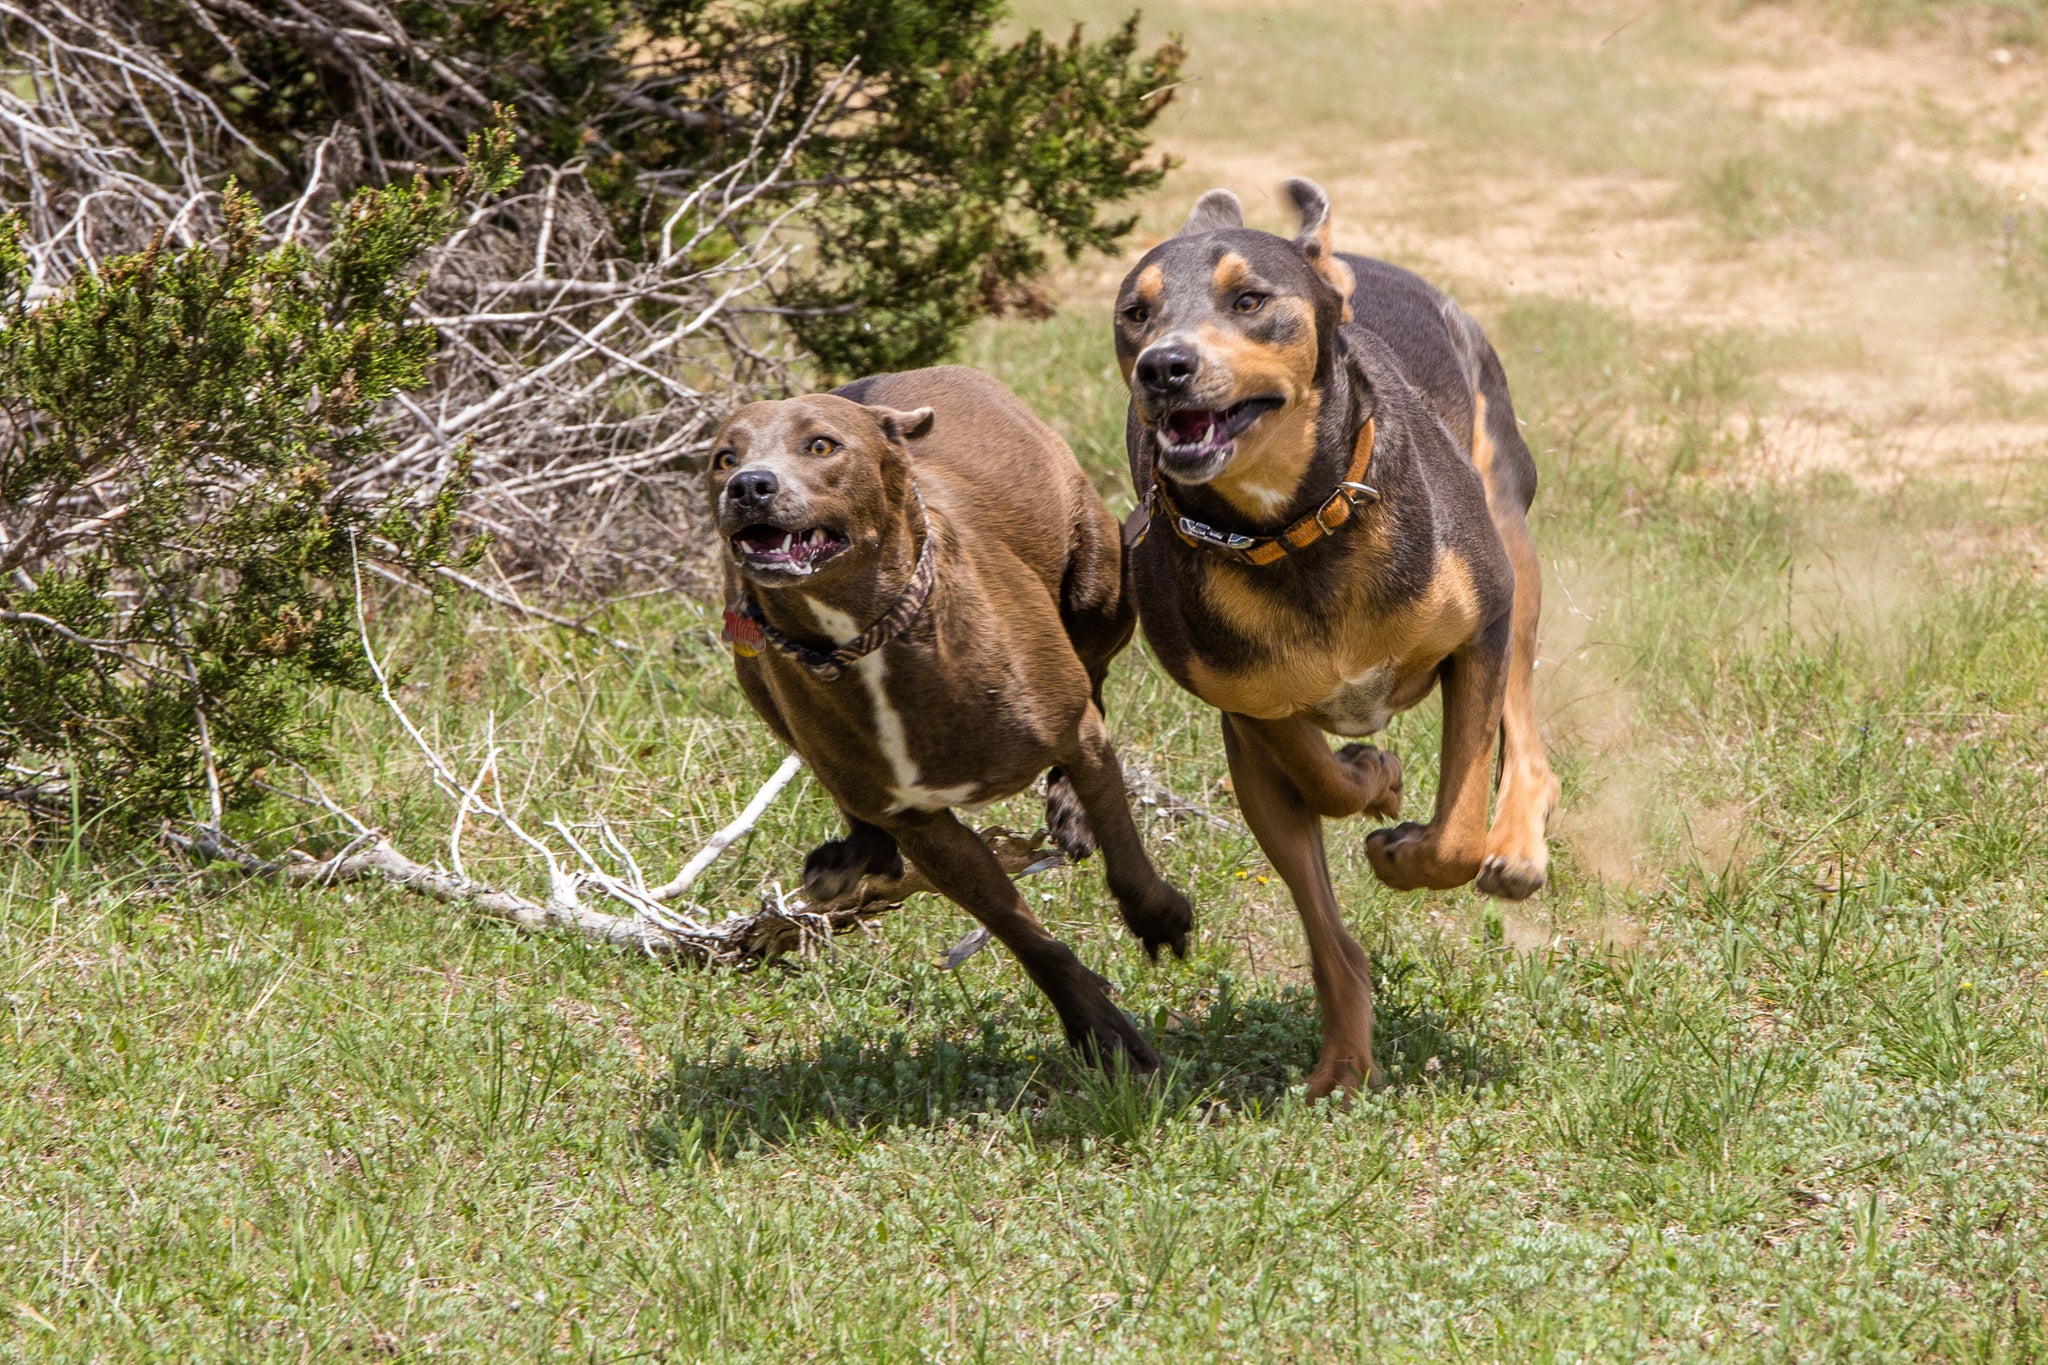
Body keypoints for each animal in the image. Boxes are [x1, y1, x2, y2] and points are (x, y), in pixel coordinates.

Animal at [708, 368, 1196, 1072]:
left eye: (822, 445)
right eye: (724, 457)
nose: (748, 486)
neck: (863, 639)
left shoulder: (1074, 731)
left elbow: (1125, 853)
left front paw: (1158, 919)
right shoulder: (928, 831)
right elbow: (1021, 931)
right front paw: (1101, 1031)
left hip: (1099, 582)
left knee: (1096, 676)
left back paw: (1071, 809)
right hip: (754, 677)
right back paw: (853, 856)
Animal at [1114, 181, 1556, 1096]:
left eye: (1250, 300)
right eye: (1133, 314)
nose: (1163, 366)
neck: (1290, 527)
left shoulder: (1480, 627)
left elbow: (1455, 827)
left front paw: (1404, 848)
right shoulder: (1241, 704)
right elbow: (1316, 774)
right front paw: (1374, 779)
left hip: (1508, 528)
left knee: (1522, 720)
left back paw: (1518, 846)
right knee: (1326, 926)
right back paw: (1345, 1062)